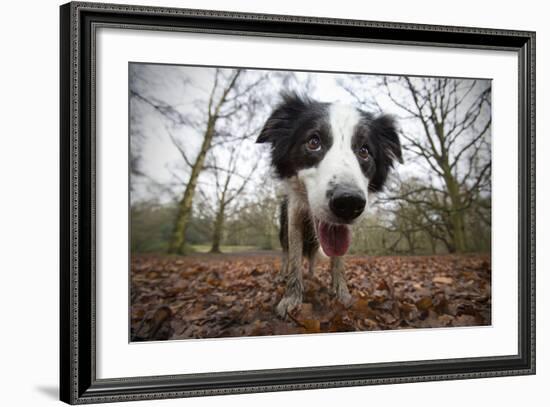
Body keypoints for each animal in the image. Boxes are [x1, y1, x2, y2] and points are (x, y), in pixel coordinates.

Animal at [256, 93, 404, 318]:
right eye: (313, 142)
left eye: (364, 151)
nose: (349, 202)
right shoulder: (294, 214)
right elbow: (295, 258)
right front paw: (291, 298)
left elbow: (338, 260)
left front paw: (341, 295)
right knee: (286, 252)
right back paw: (284, 274)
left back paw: (313, 276)